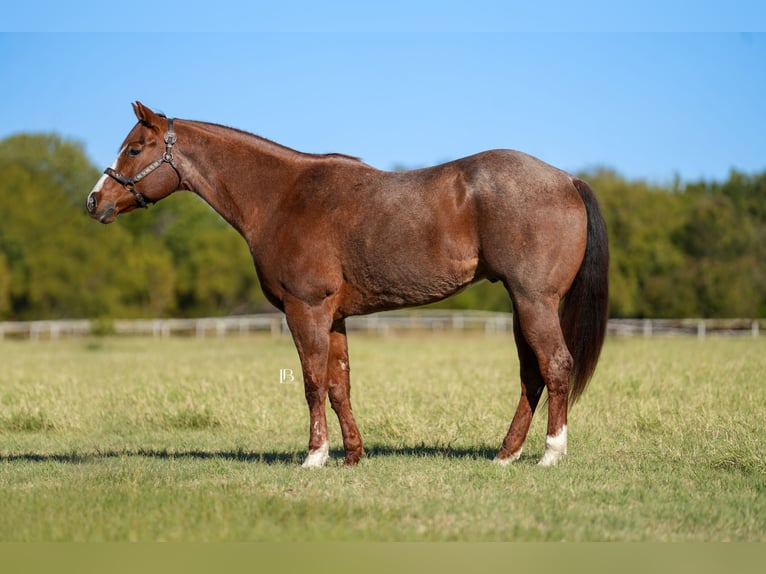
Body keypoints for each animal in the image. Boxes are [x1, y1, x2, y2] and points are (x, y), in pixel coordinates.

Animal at [87, 102, 609, 468]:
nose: (94, 201)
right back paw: (506, 454)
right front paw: (353, 455)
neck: (282, 197)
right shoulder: (334, 316)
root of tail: (567, 179)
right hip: (523, 305)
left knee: (555, 366)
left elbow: (313, 382)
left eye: (134, 149)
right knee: (531, 376)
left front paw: (314, 456)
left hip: (534, 301)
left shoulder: (306, 309)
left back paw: (550, 454)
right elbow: (340, 385)